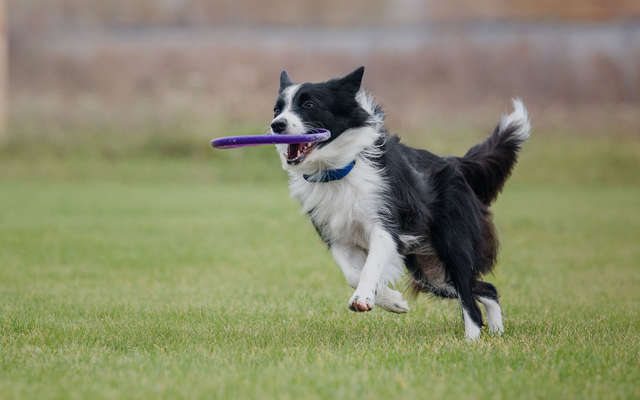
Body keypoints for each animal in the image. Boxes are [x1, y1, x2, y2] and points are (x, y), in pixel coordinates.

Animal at [270, 67, 528, 340]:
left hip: (452, 243)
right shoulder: (337, 236)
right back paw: (497, 332)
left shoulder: (386, 225)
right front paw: (393, 301)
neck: (340, 169)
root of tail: (455, 162)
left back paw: (472, 339)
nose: (276, 125)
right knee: (486, 288)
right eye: (277, 109)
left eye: (309, 104)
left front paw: (363, 298)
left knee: (469, 298)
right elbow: (352, 273)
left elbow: (371, 265)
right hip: (431, 271)